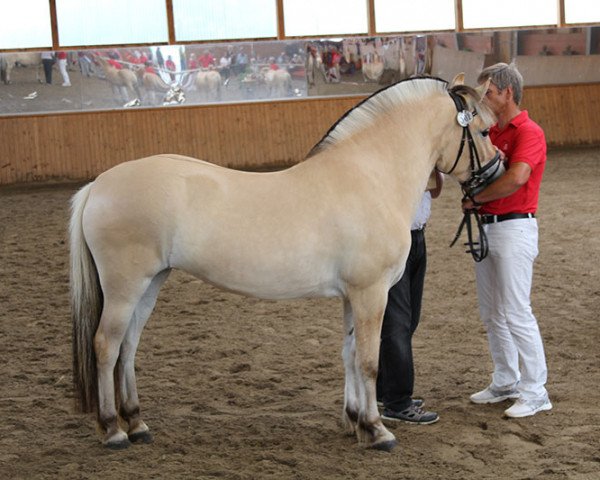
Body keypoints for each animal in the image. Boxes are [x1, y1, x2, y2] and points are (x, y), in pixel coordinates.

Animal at [70, 74, 500, 450]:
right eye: (482, 131)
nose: (494, 172)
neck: (370, 176)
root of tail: (98, 185)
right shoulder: (370, 293)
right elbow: (369, 362)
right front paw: (377, 431)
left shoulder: (352, 296)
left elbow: (348, 356)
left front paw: (354, 422)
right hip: (125, 287)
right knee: (106, 345)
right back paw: (113, 430)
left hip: (151, 283)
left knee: (128, 346)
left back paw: (137, 423)